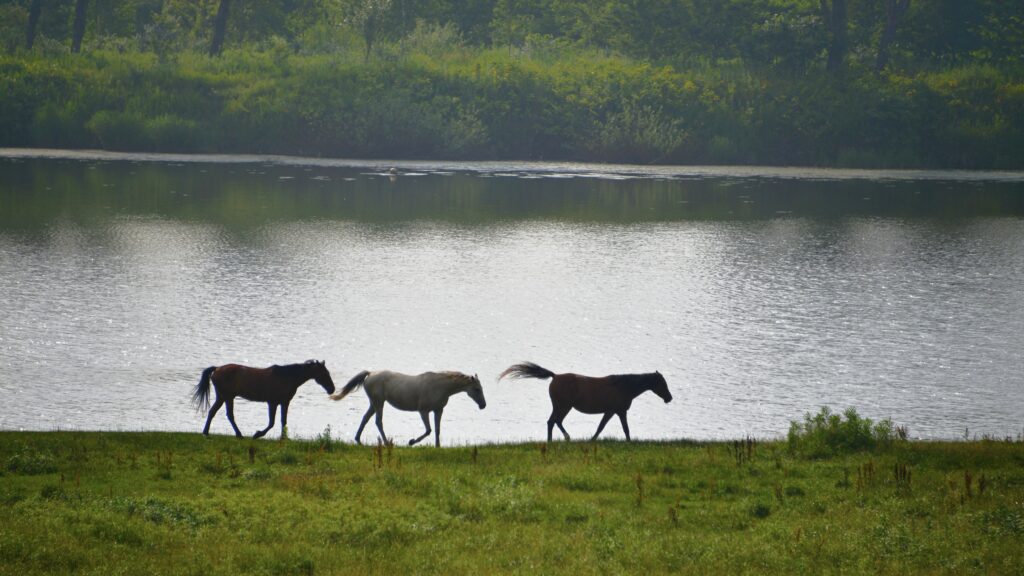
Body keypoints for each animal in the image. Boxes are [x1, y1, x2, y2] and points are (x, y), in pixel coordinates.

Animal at [192, 356, 335, 436]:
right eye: (324, 373)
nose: (332, 389)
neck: (286, 377)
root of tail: (217, 369)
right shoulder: (272, 402)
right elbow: (272, 422)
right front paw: (258, 434)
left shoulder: (284, 402)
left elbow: (283, 421)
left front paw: (284, 438)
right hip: (227, 397)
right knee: (229, 415)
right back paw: (238, 434)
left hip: (223, 397)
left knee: (213, 412)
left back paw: (207, 432)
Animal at [329, 368, 485, 446]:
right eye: (477, 389)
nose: (483, 405)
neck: (440, 386)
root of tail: (370, 374)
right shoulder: (423, 411)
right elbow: (428, 430)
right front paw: (411, 442)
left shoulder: (438, 410)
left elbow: (437, 430)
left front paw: (438, 446)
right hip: (379, 403)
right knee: (378, 422)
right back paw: (386, 443)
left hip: (374, 403)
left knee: (365, 419)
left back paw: (357, 438)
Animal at [497, 360, 671, 440]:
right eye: (662, 383)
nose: (669, 398)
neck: (623, 386)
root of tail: (555, 376)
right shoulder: (617, 411)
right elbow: (620, 428)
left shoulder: (613, 412)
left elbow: (604, 427)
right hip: (563, 406)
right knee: (554, 421)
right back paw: (563, 438)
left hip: (560, 406)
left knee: (553, 421)